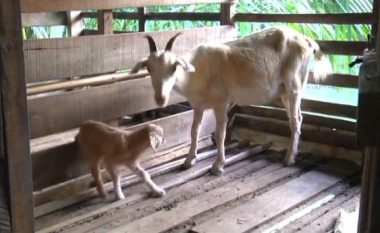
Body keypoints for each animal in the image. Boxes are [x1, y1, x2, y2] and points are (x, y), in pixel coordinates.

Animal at [130, 26, 330, 176]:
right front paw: (188, 161)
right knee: (298, 118)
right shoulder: (198, 105)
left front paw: (218, 166)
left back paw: (289, 159)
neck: (197, 72)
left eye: (174, 67)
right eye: (149, 68)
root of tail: (306, 40)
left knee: (295, 120)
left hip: (294, 87)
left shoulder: (220, 102)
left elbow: (220, 133)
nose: (160, 98)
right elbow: (194, 131)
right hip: (284, 93)